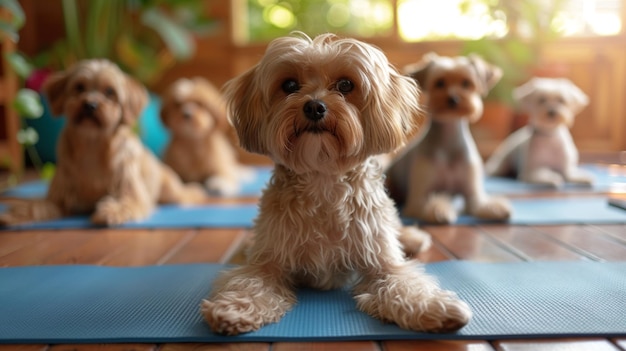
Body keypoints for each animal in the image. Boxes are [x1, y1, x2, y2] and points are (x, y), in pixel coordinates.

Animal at [0, 59, 206, 227]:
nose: (90, 105)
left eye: (109, 92)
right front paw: (15, 214)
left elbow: (125, 203)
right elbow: (37, 206)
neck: (93, 144)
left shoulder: (130, 192)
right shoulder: (58, 196)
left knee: (186, 193)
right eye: (79, 87)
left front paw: (111, 212)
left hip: (171, 189)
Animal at [200, 34, 468, 336]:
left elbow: (404, 282)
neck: (323, 178)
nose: (314, 106)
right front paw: (235, 307)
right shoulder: (267, 259)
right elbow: (250, 282)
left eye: (345, 85)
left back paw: (411, 237)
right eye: (289, 85)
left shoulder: (382, 259)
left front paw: (434, 307)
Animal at [386, 53, 512, 226]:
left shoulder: (473, 194)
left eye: (466, 83)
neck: (448, 142)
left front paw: (497, 208)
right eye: (439, 83)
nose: (453, 99)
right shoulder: (418, 198)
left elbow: (480, 204)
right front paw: (439, 210)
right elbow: (429, 203)